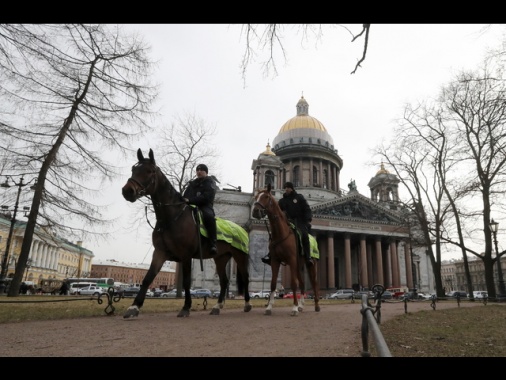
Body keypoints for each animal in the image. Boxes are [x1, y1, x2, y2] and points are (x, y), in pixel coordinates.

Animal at [120, 148, 251, 318]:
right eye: (133, 169)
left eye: (149, 171)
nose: (127, 191)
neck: (172, 218)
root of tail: (241, 229)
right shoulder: (160, 253)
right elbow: (148, 278)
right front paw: (134, 307)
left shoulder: (186, 255)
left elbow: (187, 281)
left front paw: (186, 307)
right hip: (221, 258)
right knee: (224, 281)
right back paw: (217, 306)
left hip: (239, 256)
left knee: (246, 278)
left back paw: (247, 304)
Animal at [252, 183, 320, 314]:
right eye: (256, 197)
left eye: (266, 197)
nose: (255, 212)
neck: (281, 233)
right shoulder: (275, 261)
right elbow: (273, 284)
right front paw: (269, 307)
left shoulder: (292, 260)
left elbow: (293, 283)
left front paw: (294, 308)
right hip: (299, 265)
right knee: (302, 283)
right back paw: (301, 305)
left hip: (311, 264)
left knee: (314, 283)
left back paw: (316, 306)